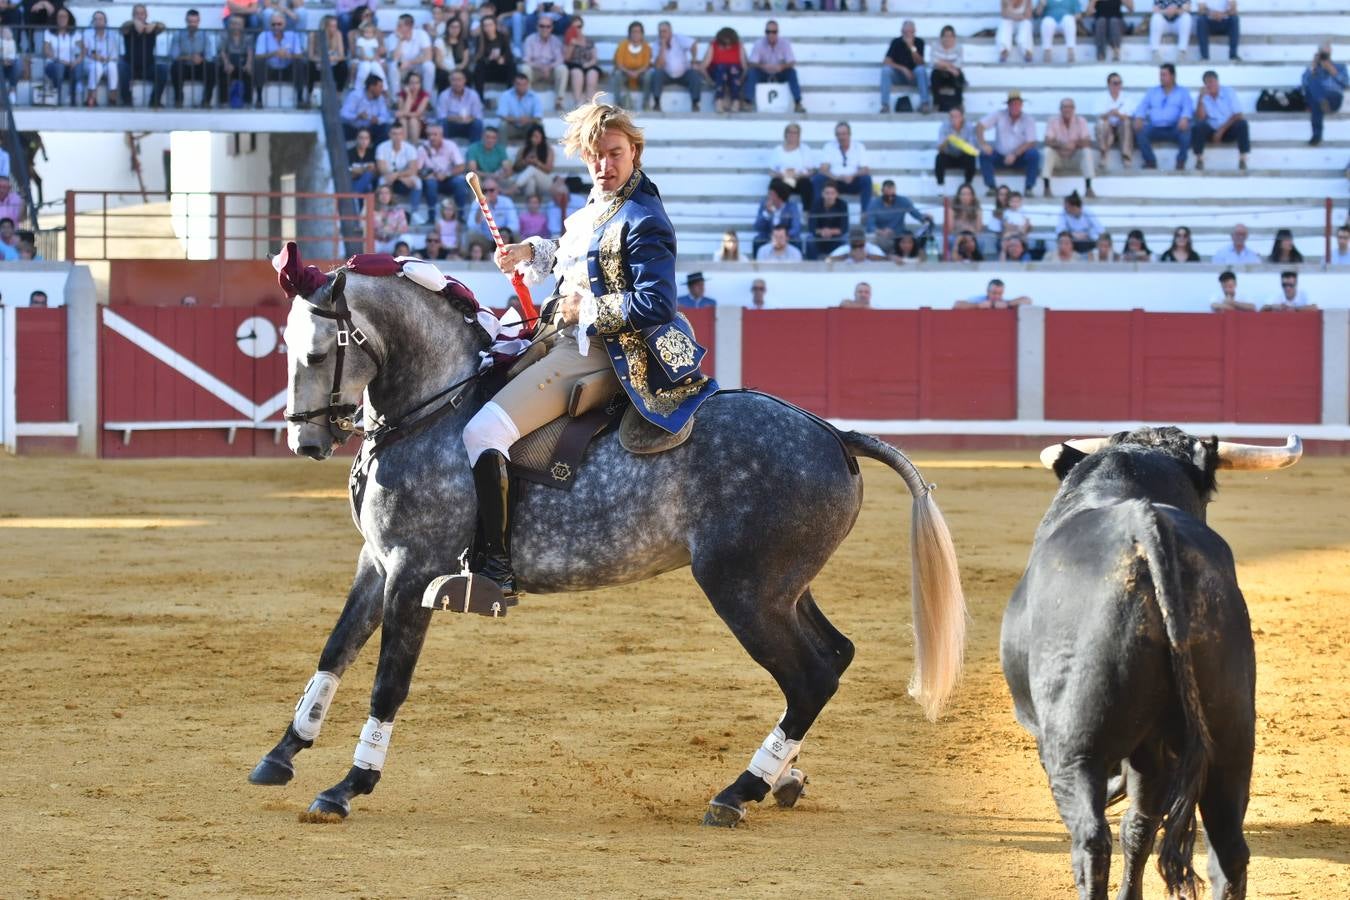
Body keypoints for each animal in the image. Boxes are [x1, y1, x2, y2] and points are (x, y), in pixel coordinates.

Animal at [251, 265, 972, 825]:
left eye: (316, 354)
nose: (305, 441)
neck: (432, 411)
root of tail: (832, 435)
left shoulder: (413, 572)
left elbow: (388, 681)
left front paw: (348, 786)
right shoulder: (375, 563)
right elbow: (335, 649)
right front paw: (282, 754)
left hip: (742, 590)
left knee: (810, 675)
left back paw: (739, 791)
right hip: (782, 587)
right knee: (832, 657)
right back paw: (781, 778)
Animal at [1004, 429, 1296, 900]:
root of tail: (1148, 526)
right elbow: (1141, 824)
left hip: (1075, 744)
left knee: (1092, 840)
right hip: (1230, 740)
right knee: (1226, 850)